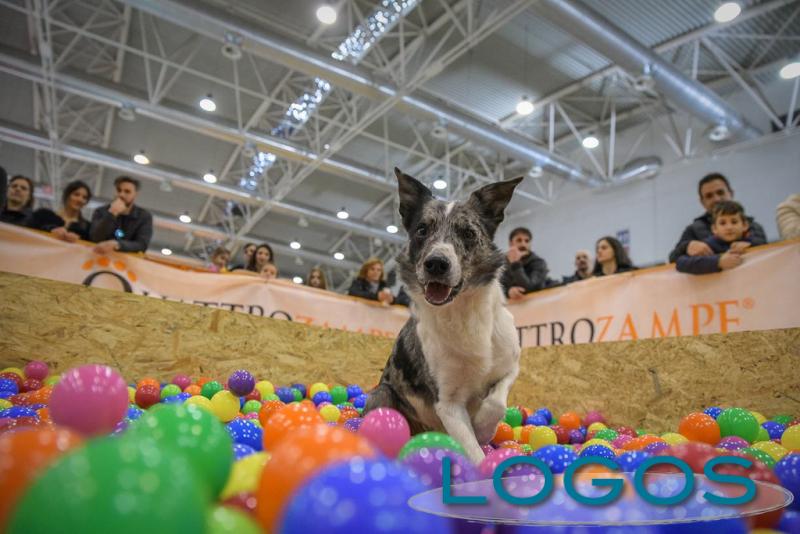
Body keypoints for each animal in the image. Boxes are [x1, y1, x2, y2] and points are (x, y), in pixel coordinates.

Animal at [365, 168, 523, 464]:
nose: (436, 263)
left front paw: (484, 426)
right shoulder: (448, 404)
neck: (463, 312)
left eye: (468, 233)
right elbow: (473, 451)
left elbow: (496, 401)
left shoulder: (510, 365)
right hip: (382, 394)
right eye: (422, 230)